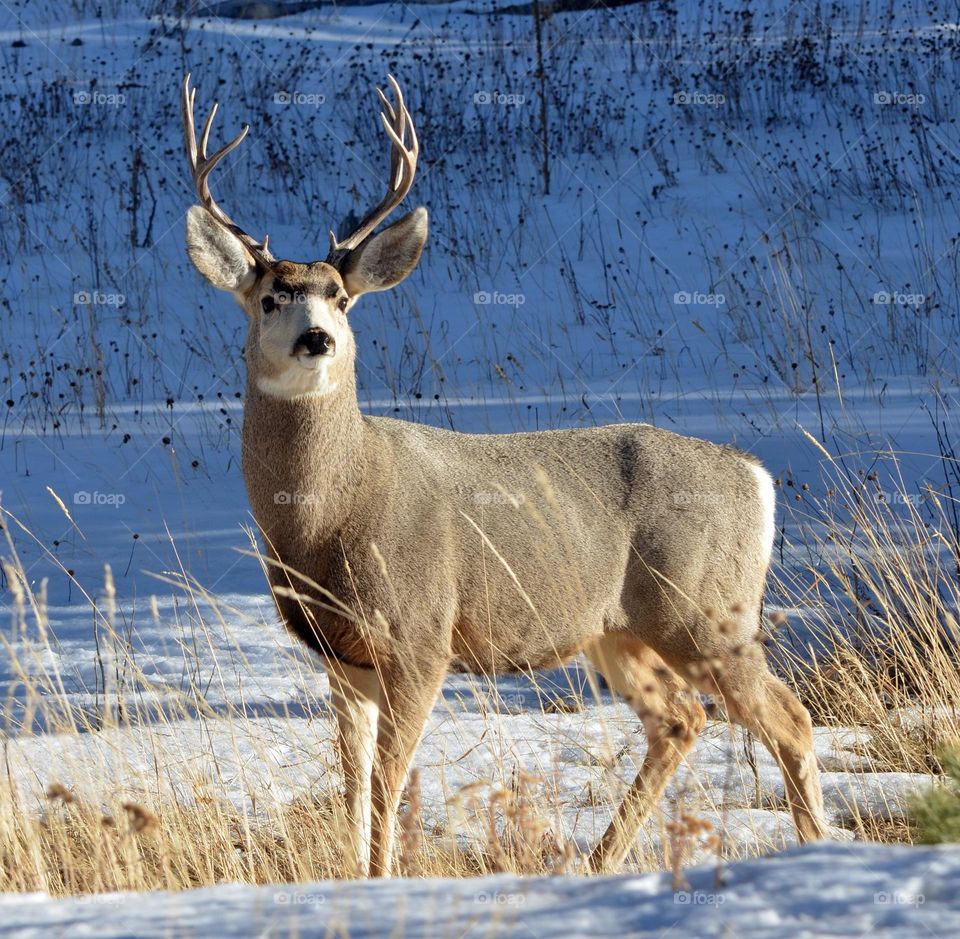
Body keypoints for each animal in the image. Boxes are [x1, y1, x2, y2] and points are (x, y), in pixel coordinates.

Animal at [180, 73, 829, 879]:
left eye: (340, 295)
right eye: (271, 297)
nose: (317, 338)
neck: (331, 516)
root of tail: (756, 476)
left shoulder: (422, 632)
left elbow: (389, 781)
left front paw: (384, 877)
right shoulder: (341, 653)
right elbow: (353, 785)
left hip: (705, 609)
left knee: (789, 716)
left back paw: (814, 849)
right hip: (617, 629)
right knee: (681, 720)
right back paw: (598, 863)